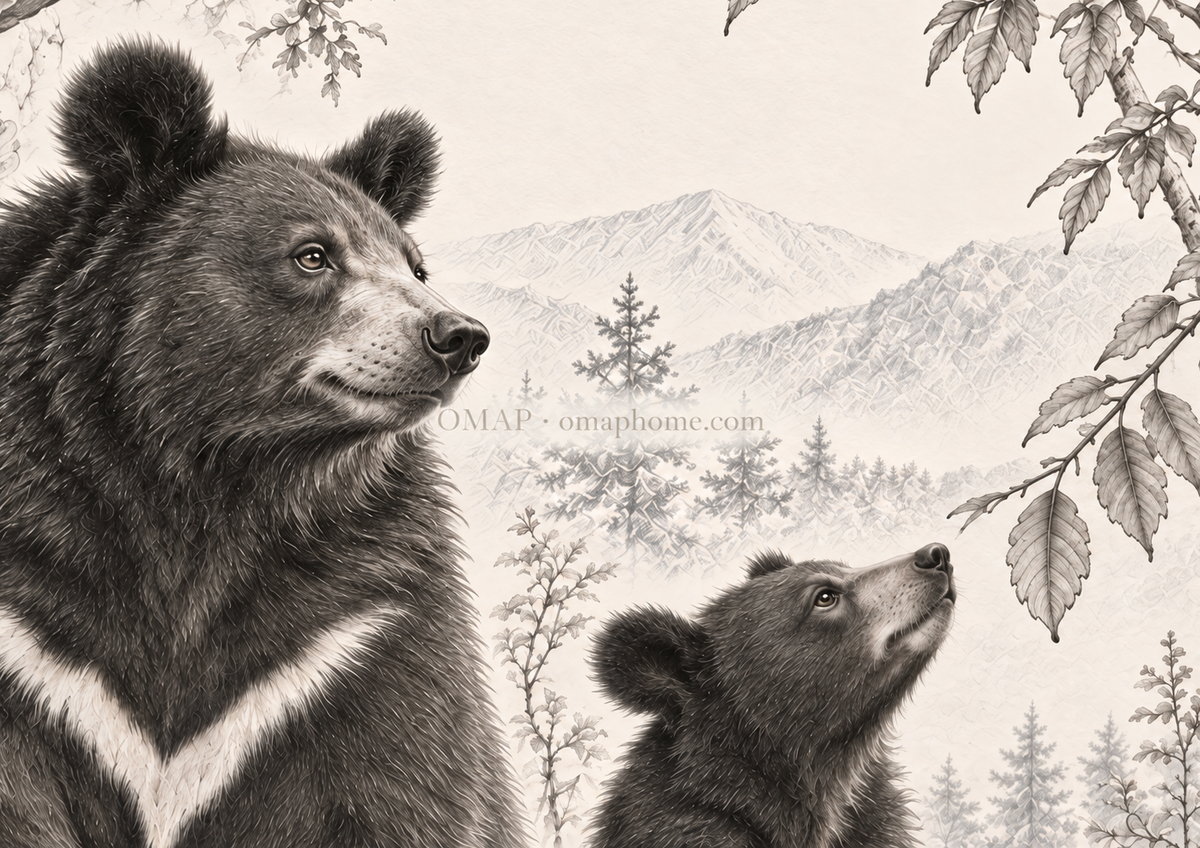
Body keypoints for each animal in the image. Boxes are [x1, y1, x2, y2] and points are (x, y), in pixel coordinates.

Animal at [0, 41, 526, 848]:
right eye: (313, 254)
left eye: (414, 265)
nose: (457, 335)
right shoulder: (33, 645)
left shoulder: (355, 637)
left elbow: (409, 786)